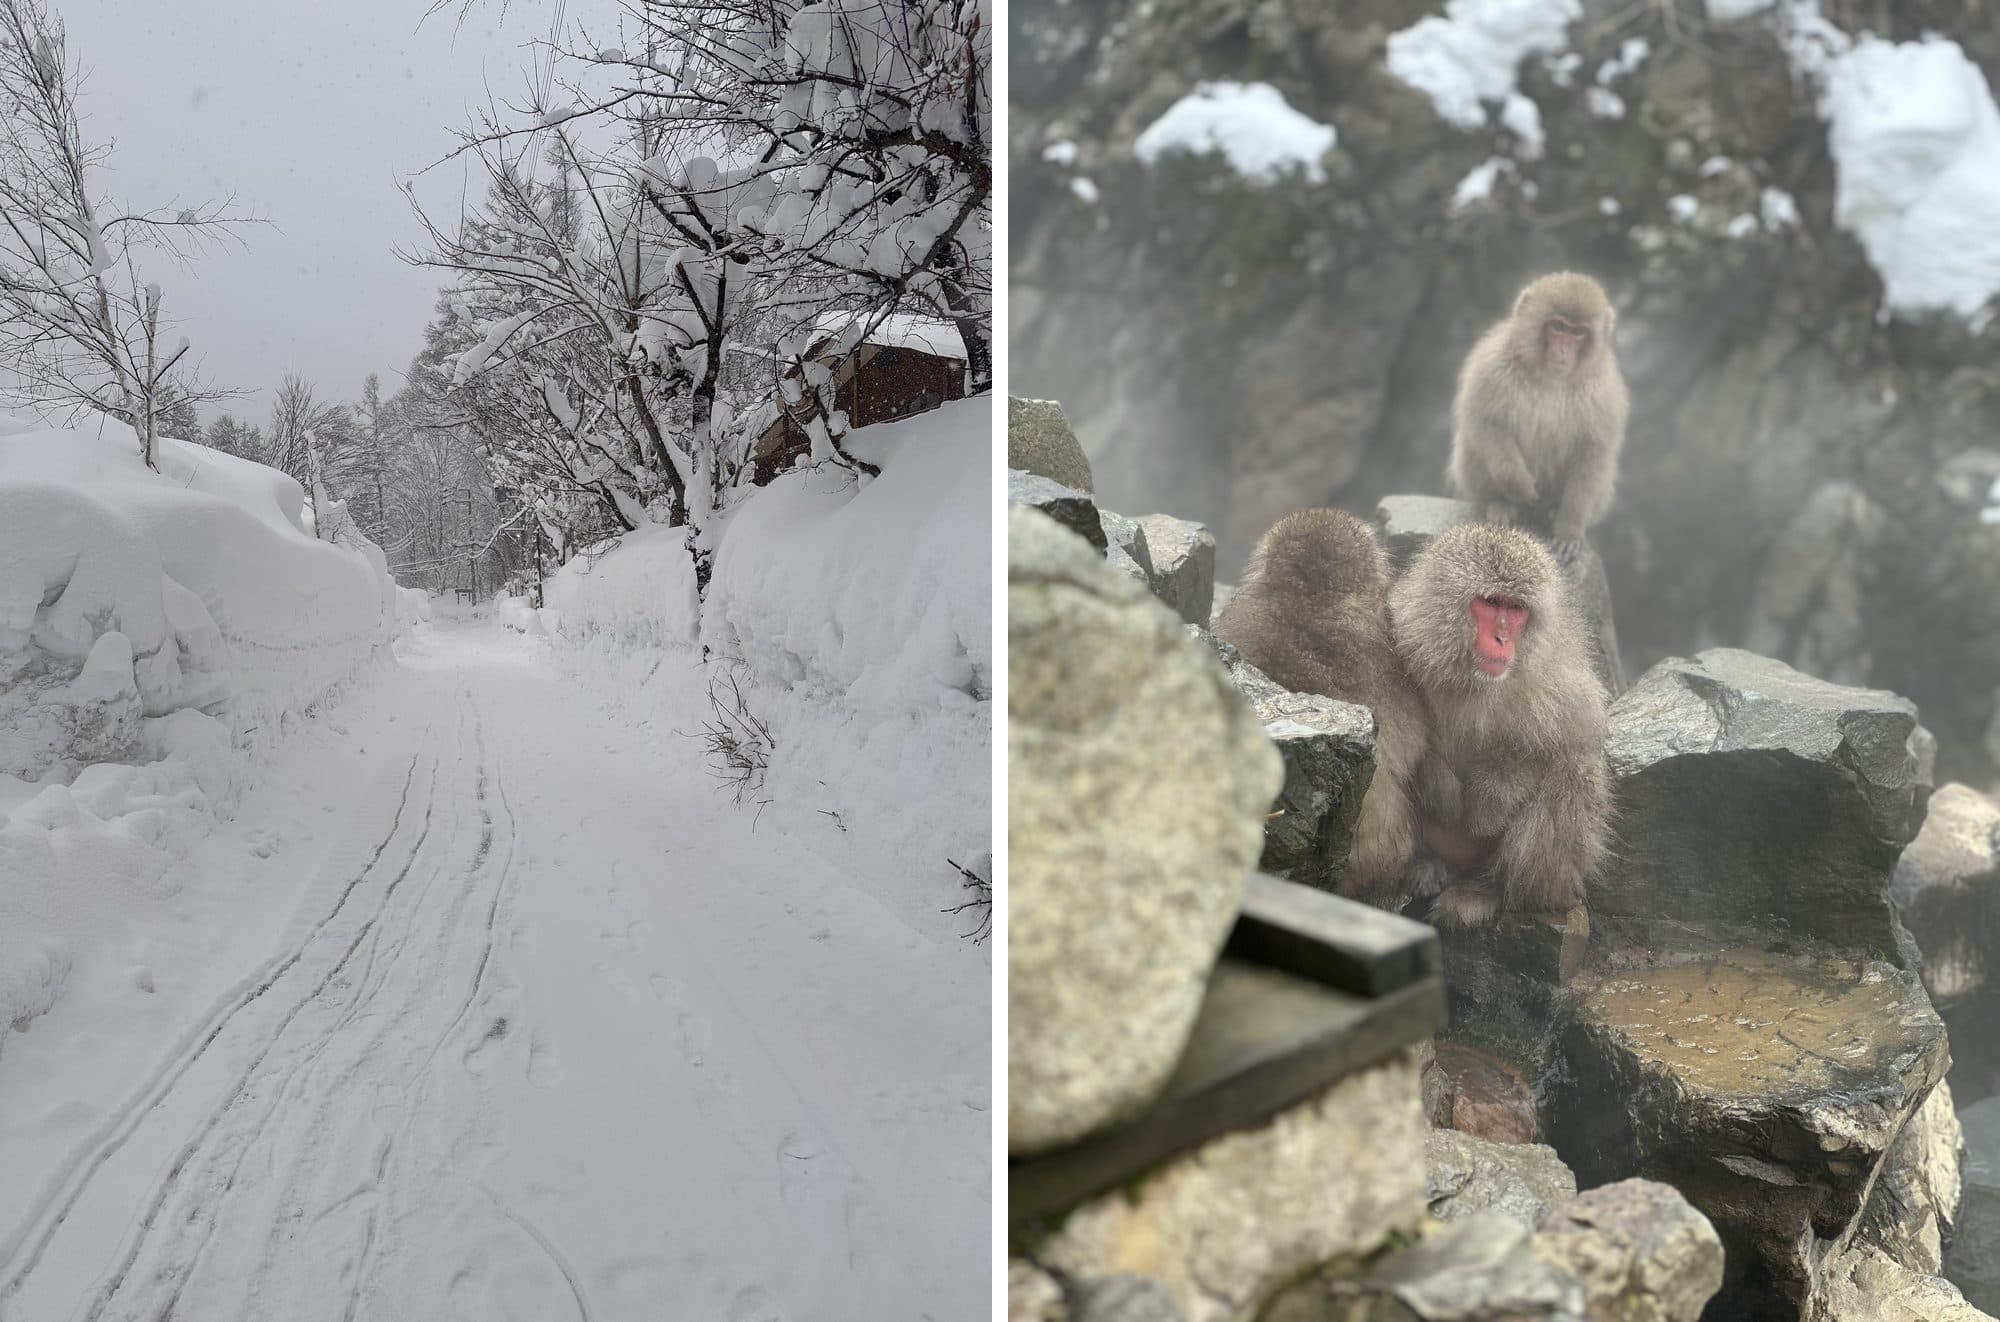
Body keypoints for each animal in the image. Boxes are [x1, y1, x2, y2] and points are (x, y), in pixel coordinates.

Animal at [1387, 522, 1612, 928]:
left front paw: (1492, 800)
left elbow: (1570, 739)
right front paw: (1438, 784)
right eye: (1491, 602)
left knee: (1574, 771)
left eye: (1517, 609)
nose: (1502, 639)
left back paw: (1488, 891)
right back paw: (1424, 866)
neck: (1471, 680)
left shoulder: (1560, 674)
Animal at [1446, 272, 1628, 565]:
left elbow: (1593, 454)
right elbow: (1486, 422)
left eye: (1578, 332)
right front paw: (1517, 484)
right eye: (1558, 326)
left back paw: (1553, 512)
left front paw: (1569, 528)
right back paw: (1500, 504)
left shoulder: (1603, 393)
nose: (1563, 351)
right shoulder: (1492, 365)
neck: (1550, 377)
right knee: (1473, 446)